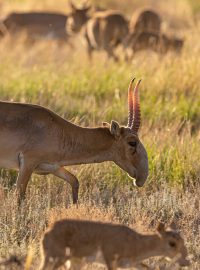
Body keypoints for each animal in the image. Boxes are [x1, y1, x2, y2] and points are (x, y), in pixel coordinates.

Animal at [0, 79, 148, 204]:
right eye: (132, 142)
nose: (143, 177)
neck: (57, 128)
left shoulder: (53, 167)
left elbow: (75, 181)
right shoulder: (28, 164)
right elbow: (19, 197)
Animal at [39, 219, 191, 270]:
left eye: (183, 240)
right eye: (172, 243)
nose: (186, 261)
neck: (137, 243)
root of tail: (46, 233)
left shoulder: (132, 264)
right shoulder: (110, 259)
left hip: (74, 262)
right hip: (56, 258)